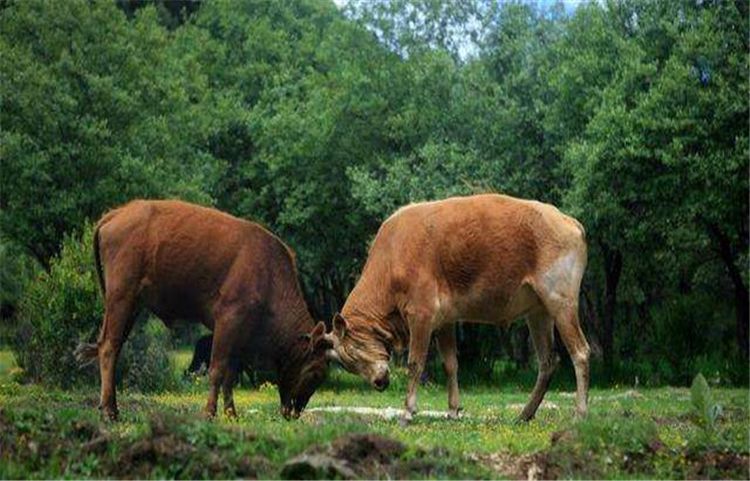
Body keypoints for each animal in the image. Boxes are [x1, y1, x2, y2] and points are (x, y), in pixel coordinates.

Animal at [75, 198, 330, 416]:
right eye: (315, 373)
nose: (295, 412)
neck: (268, 273)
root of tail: (116, 214)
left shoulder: (240, 334)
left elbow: (230, 373)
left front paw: (231, 413)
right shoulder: (228, 321)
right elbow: (217, 370)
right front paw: (209, 412)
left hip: (132, 306)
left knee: (111, 345)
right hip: (121, 299)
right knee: (109, 347)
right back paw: (110, 411)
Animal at [328, 193, 592, 422]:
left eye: (353, 354)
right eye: (349, 364)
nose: (379, 383)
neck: (392, 259)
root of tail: (567, 220)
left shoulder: (421, 314)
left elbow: (415, 363)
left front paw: (408, 411)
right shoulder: (445, 320)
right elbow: (450, 364)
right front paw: (453, 410)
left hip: (561, 301)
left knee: (580, 352)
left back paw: (579, 413)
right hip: (538, 312)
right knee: (547, 361)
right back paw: (525, 414)